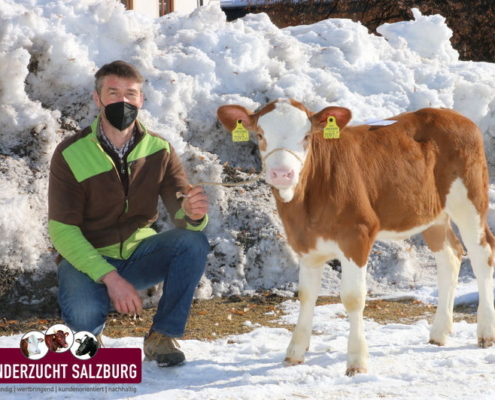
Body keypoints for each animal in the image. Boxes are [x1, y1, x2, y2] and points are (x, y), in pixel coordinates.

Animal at [219, 99, 495, 376]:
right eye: (260, 135)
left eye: (306, 136)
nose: (282, 173)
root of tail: (453, 115)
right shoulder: (305, 243)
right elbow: (306, 294)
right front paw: (295, 352)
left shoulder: (358, 235)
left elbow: (353, 298)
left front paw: (356, 361)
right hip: (432, 214)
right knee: (451, 255)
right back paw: (439, 332)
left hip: (469, 200)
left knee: (483, 255)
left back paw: (485, 332)